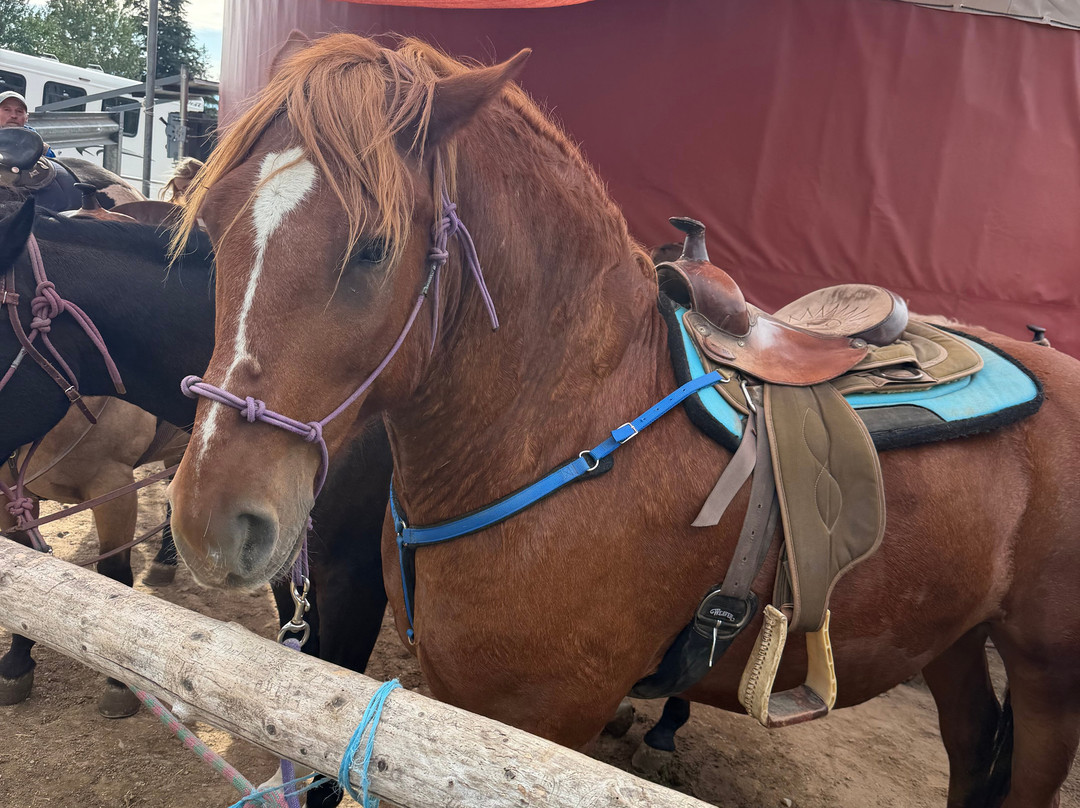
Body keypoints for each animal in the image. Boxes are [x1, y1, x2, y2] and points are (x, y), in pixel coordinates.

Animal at [166, 34, 1080, 807]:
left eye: (374, 247)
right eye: (208, 230)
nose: (210, 521)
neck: (568, 425)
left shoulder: (543, 723)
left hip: (1046, 675)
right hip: (956, 637)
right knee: (972, 744)